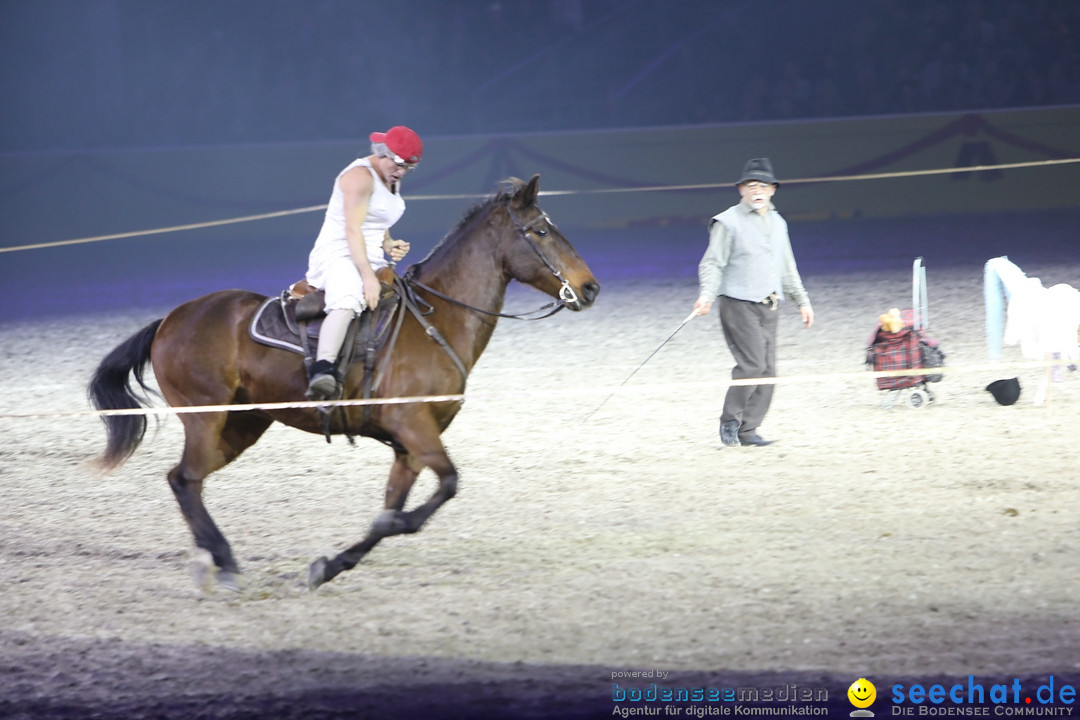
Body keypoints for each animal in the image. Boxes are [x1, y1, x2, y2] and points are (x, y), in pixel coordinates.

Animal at [88, 174, 604, 591]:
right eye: (540, 230)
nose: (590, 287)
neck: (439, 319)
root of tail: (172, 318)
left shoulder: (409, 445)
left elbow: (393, 514)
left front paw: (332, 565)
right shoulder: (414, 427)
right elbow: (444, 488)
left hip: (242, 425)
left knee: (184, 479)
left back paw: (211, 560)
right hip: (206, 418)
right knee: (186, 479)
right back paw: (225, 563)